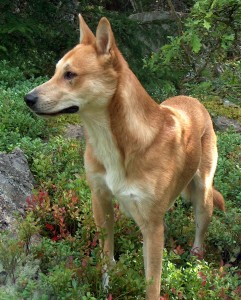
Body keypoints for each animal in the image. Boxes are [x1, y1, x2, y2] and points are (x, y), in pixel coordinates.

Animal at [24, 15, 224, 298]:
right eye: (55, 72)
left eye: (70, 74)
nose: (27, 98)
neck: (116, 141)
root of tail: (194, 100)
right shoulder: (101, 202)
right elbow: (107, 257)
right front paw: (106, 286)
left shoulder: (152, 227)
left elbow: (152, 284)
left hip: (203, 196)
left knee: (200, 234)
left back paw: (196, 259)